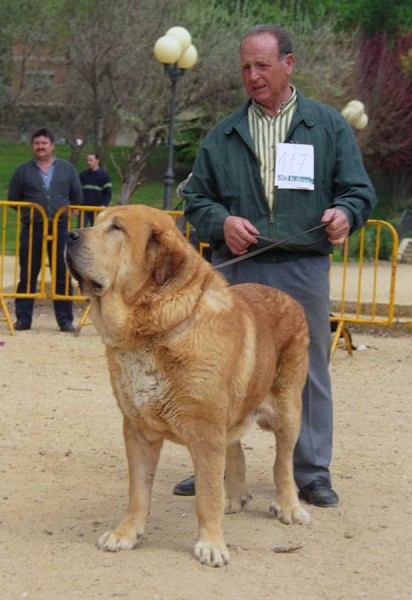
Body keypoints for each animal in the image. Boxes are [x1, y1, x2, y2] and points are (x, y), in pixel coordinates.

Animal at [65, 205, 308, 568]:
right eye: (97, 222)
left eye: (117, 228)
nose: (69, 234)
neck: (155, 329)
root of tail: (288, 299)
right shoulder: (137, 429)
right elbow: (138, 490)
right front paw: (125, 534)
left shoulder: (206, 431)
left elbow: (206, 494)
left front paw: (211, 544)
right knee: (236, 449)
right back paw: (234, 496)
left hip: (289, 410)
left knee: (284, 463)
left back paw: (290, 507)